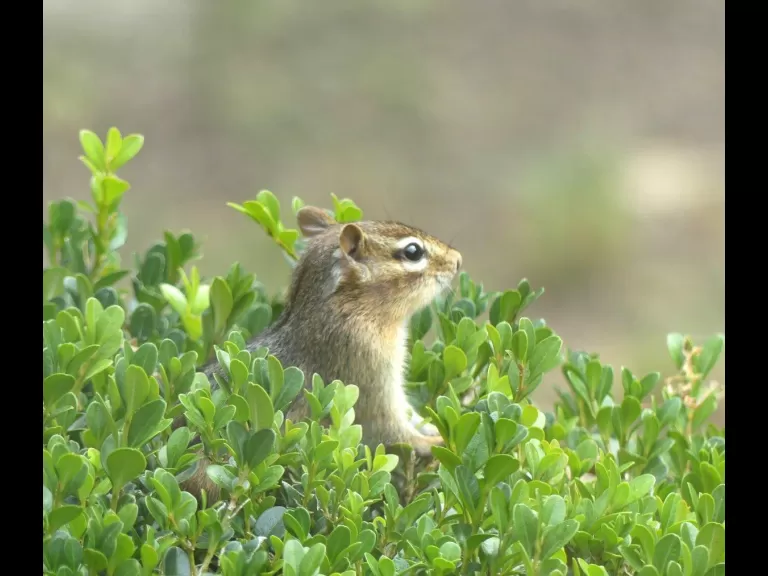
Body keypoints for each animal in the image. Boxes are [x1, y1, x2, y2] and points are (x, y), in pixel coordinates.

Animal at [179, 206, 462, 502]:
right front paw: (435, 442)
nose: (458, 261)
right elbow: (396, 432)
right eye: (413, 251)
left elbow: (411, 416)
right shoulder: (370, 386)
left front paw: (435, 426)